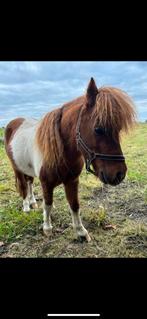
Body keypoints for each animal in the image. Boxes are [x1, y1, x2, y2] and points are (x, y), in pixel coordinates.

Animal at [4, 78, 136, 242]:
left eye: (118, 130)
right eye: (98, 129)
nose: (119, 174)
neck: (62, 153)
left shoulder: (72, 181)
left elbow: (74, 205)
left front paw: (80, 231)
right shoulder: (46, 183)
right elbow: (48, 204)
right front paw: (47, 228)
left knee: (29, 183)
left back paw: (33, 202)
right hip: (16, 167)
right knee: (23, 185)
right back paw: (26, 206)